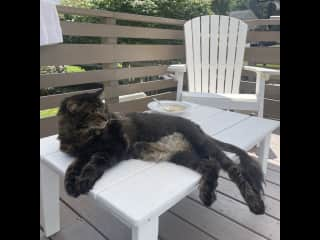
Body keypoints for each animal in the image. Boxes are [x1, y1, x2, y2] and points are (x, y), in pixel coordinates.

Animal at [57, 84, 264, 214]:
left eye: (103, 109)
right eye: (93, 112)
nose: (107, 118)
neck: (83, 138)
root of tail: (197, 126)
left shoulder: (113, 148)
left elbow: (94, 163)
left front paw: (83, 181)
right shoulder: (81, 154)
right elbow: (72, 167)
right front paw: (69, 184)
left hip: (205, 147)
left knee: (234, 170)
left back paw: (256, 203)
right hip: (182, 155)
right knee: (211, 166)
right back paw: (207, 194)